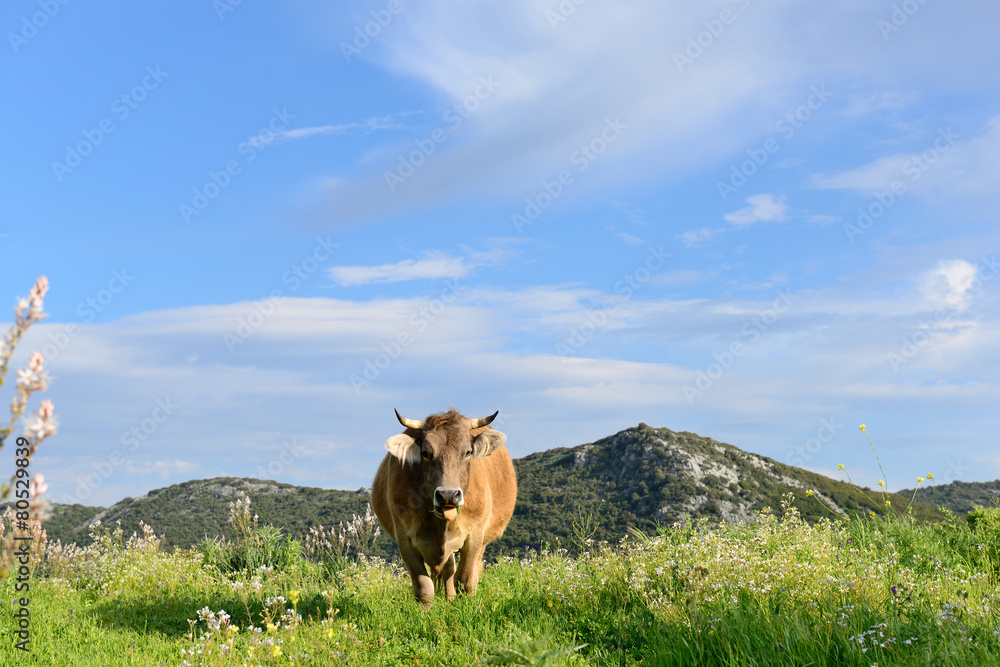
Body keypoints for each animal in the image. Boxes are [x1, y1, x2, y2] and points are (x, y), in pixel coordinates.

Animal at [371, 407, 517, 605]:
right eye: (426, 452)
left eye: (468, 452)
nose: (448, 495)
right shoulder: (404, 538)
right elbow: (424, 587)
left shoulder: (475, 535)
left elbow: (464, 581)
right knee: (448, 568)